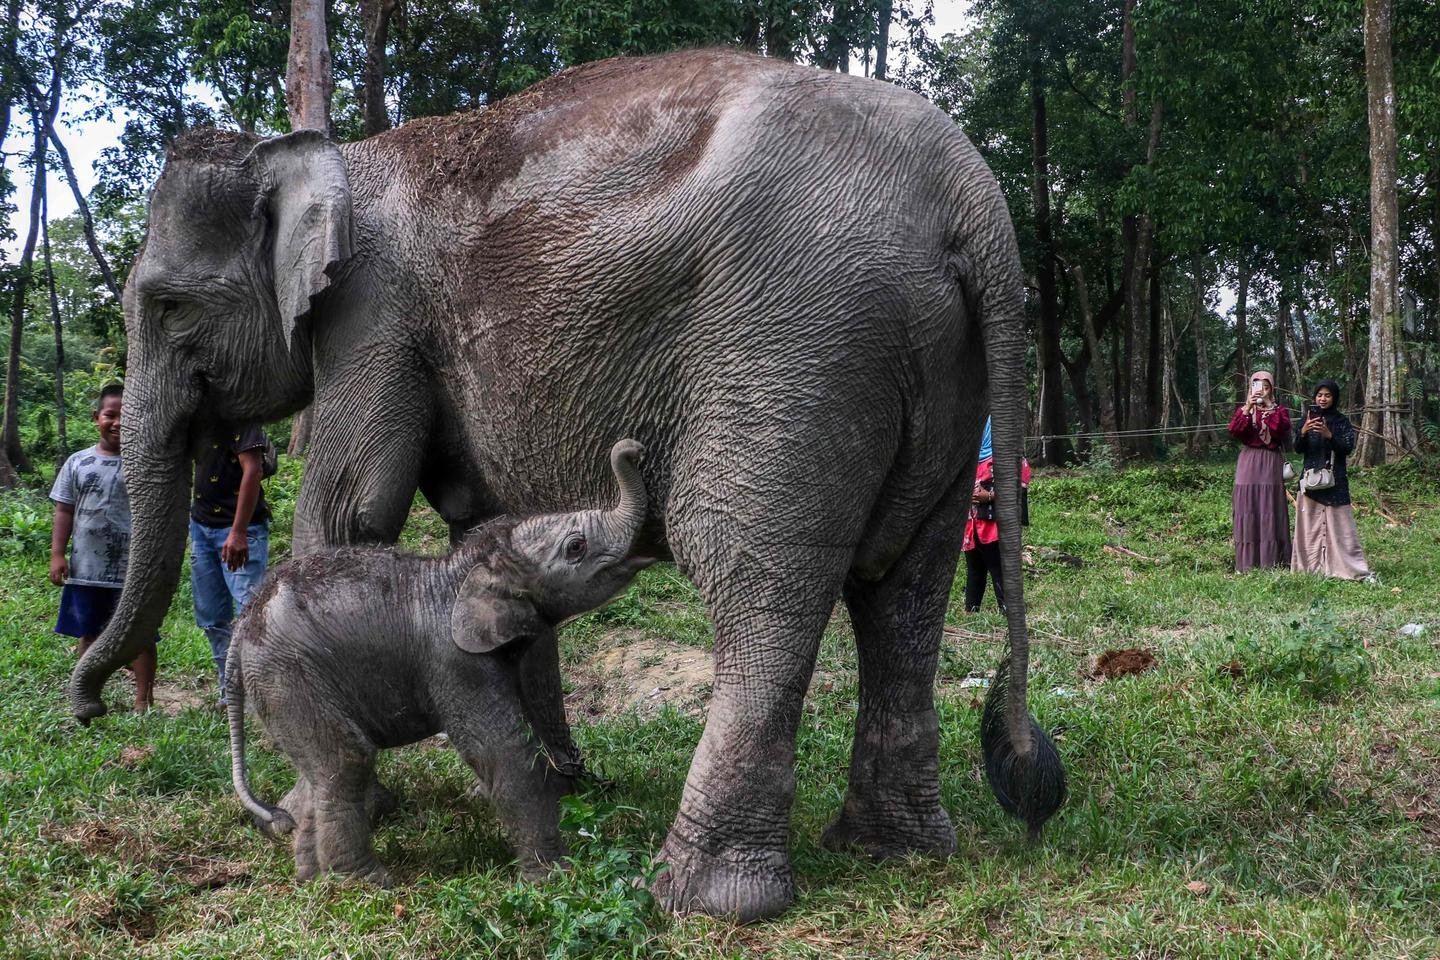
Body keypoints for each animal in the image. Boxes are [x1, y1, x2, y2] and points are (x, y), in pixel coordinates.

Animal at [226, 440, 653, 892]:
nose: (632, 448)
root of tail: (242, 626)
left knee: (317, 771)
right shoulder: (454, 661)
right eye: (575, 548)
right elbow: (505, 750)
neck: (465, 566)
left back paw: (311, 879)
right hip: (288, 676)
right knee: (345, 760)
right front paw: (554, 877)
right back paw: (365, 883)